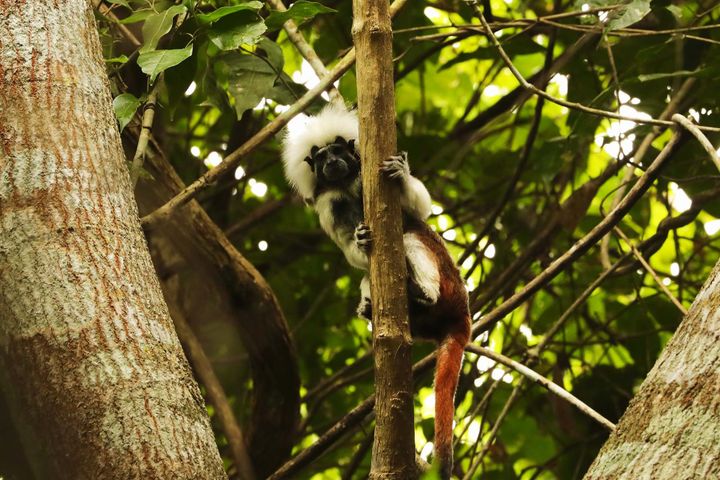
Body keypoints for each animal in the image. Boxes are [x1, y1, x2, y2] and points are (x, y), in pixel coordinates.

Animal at [282, 104, 470, 479]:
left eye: (337, 152)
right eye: (320, 158)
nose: (331, 162)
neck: (345, 184)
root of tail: (462, 316)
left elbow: (420, 208)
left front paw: (402, 173)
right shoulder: (328, 205)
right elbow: (351, 251)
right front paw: (358, 241)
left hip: (449, 282)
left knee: (411, 235)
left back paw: (423, 292)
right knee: (370, 276)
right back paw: (377, 306)